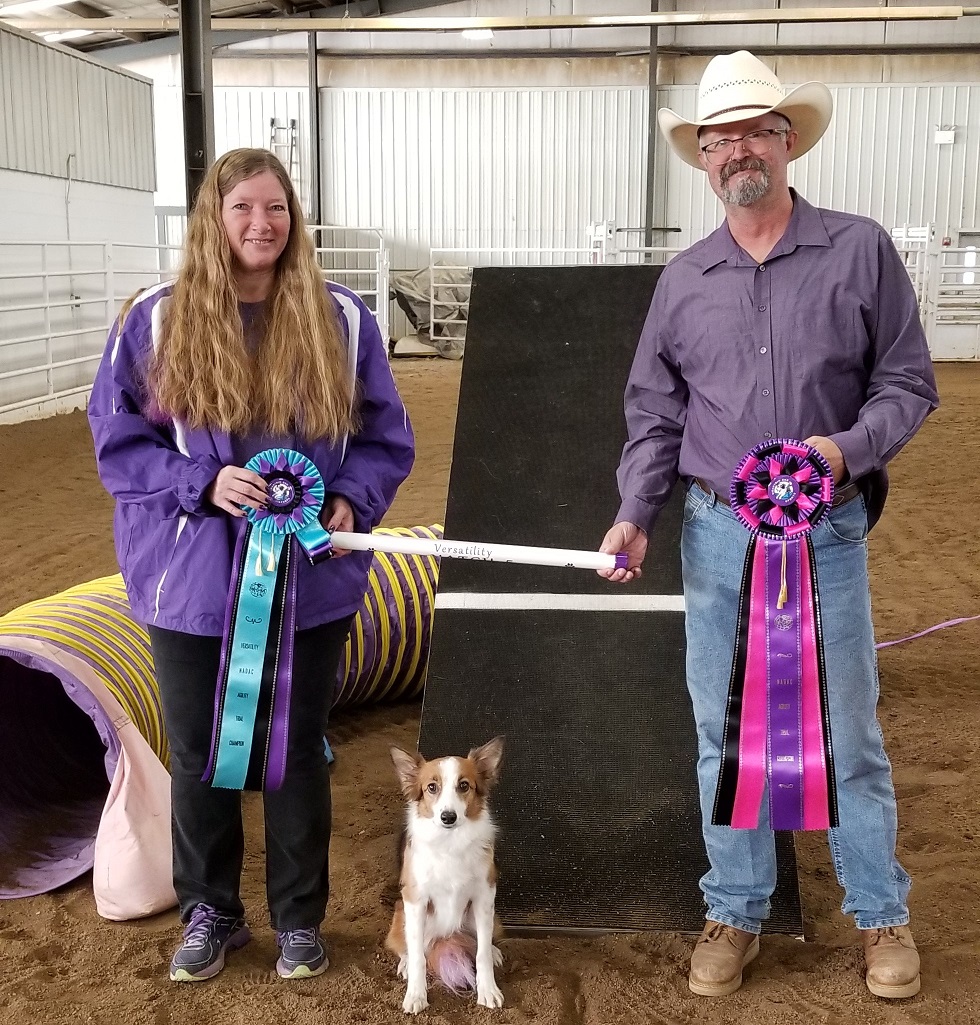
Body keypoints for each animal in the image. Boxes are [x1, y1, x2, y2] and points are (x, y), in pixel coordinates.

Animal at [385, 733, 504, 1012]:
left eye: (464, 785)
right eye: (432, 787)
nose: (448, 817)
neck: (450, 843)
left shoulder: (484, 896)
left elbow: (481, 952)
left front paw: (488, 990)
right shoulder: (416, 900)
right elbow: (418, 955)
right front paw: (416, 995)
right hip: (401, 913)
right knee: (407, 945)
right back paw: (405, 963)